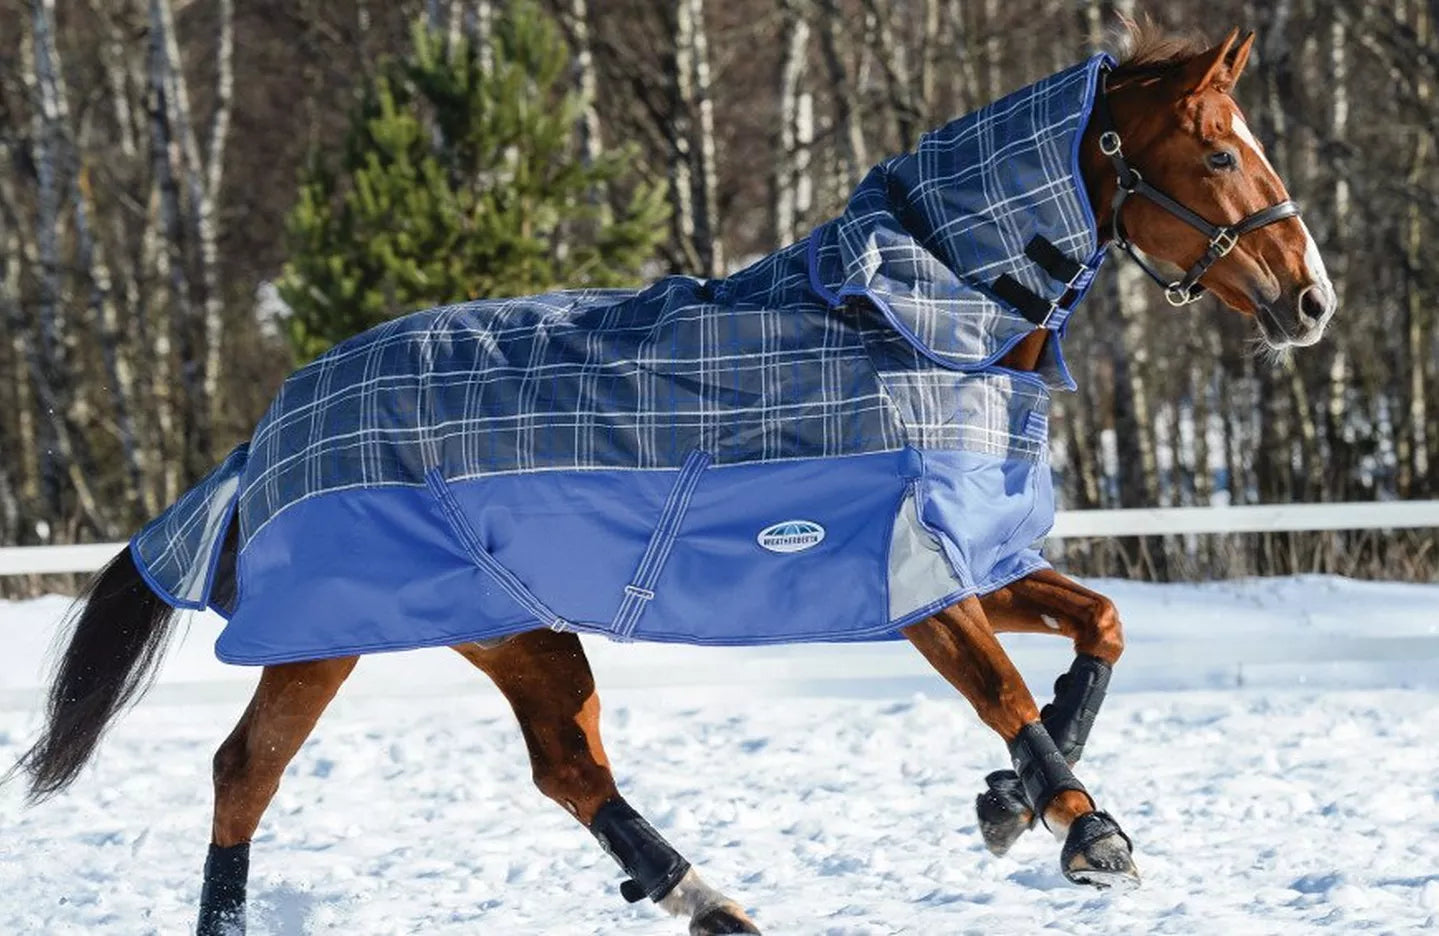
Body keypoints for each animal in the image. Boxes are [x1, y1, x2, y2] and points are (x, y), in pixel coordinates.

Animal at [10, 26, 1333, 936]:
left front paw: (1009, 806)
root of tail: (276, 418)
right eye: (1217, 149)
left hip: (511, 630)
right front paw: (1086, 831)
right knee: (252, 771)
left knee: (562, 767)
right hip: (339, 628)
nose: (1308, 299)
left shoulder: (968, 560)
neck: (917, 325)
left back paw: (705, 899)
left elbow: (1098, 626)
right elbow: (1001, 688)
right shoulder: (913, 577)